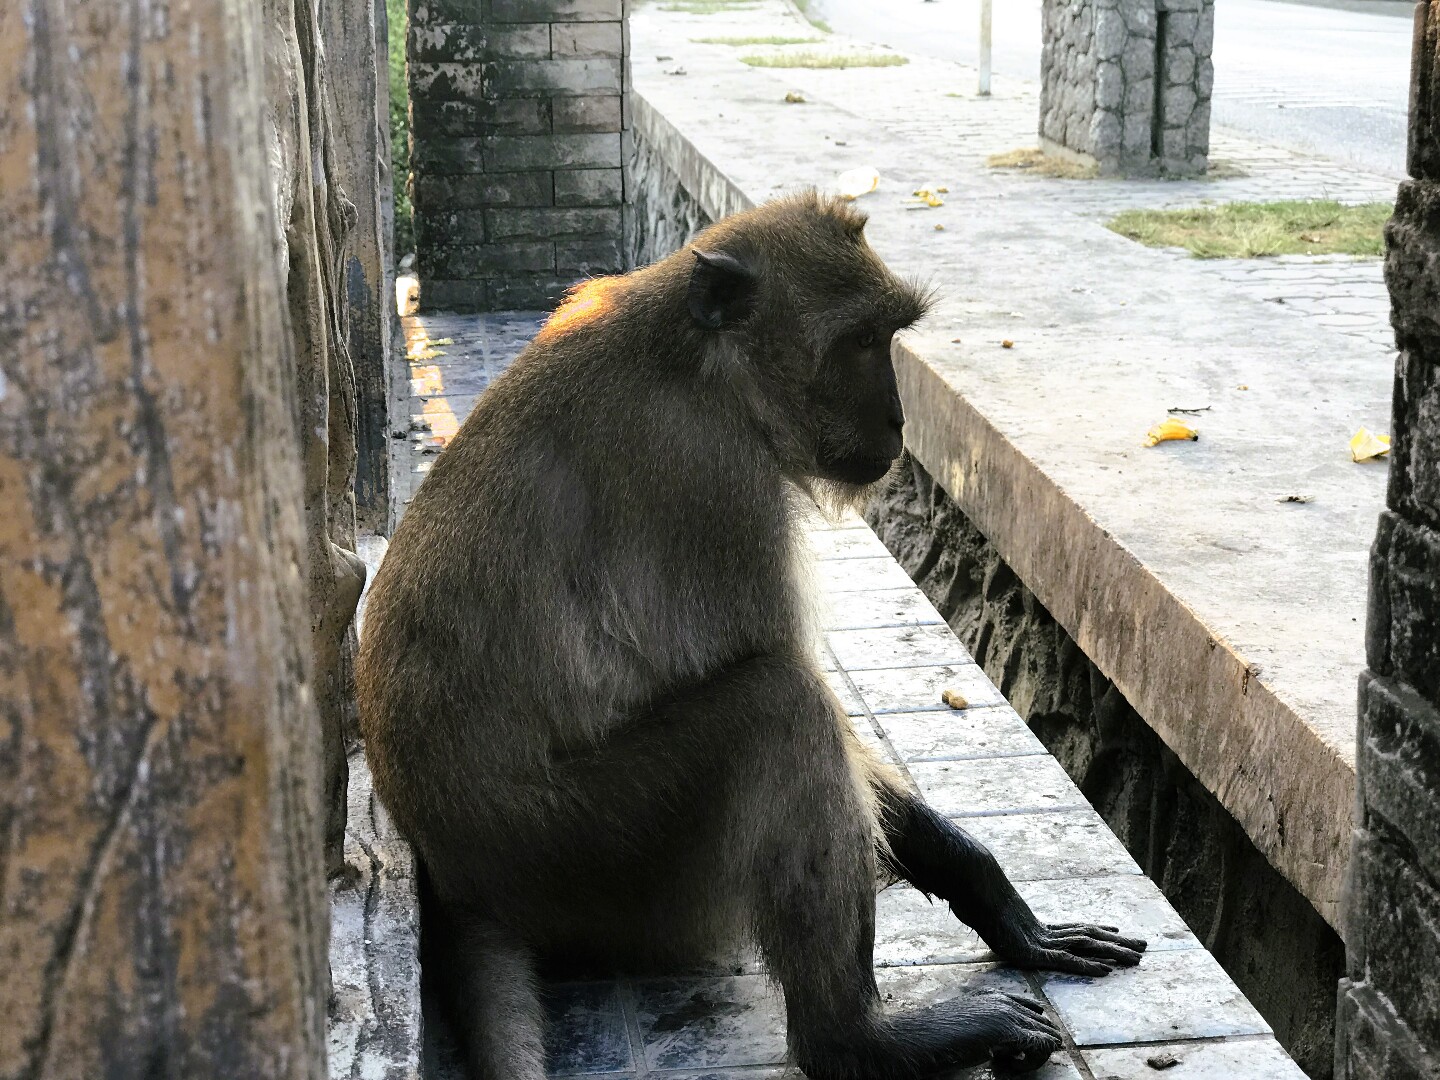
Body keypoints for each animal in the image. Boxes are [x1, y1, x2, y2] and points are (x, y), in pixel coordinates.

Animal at [354, 194, 1140, 1080]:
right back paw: (860, 1041)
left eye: (888, 336)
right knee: (778, 707)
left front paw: (985, 890)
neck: (696, 363)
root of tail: (464, 879)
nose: (899, 417)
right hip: (595, 858)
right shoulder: (710, 478)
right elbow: (785, 672)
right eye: (859, 342)